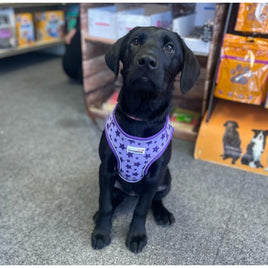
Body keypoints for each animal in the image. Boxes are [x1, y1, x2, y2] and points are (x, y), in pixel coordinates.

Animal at [91, 26, 200, 253]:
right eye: (135, 41)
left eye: (170, 48)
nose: (147, 61)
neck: (141, 116)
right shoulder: (105, 169)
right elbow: (105, 204)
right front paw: (101, 232)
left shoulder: (154, 176)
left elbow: (141, 209)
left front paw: (137, 235)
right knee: (114, 198)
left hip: (166, 178)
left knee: (154, 200)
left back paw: (162, 213)